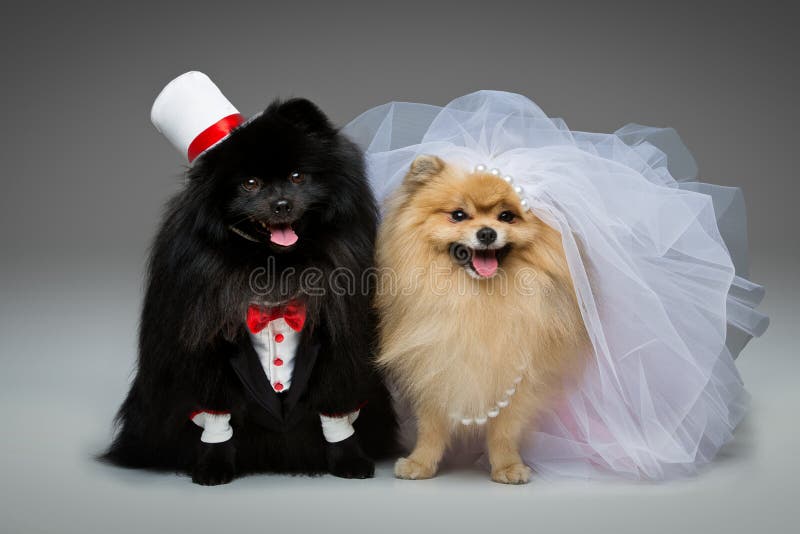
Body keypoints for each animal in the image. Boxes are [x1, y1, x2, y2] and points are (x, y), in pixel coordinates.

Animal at [103, 98, 396, 488]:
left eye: (297, 177)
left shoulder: (340, 353)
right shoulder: (208, 359)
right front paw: (213, 466)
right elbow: (217, 417)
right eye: (250, 184)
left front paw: (350, 459)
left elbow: (335, 413)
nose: (282, 204)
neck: (273, 267)